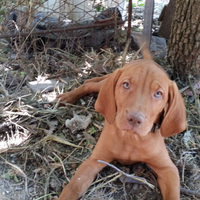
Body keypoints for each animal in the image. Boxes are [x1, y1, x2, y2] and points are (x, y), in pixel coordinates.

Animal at [57, 45, 187, 200]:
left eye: (158, 94)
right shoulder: (94, 160)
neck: (131, 137)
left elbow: (173, 194)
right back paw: (68, 96)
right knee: (91, 85)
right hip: (106, 84)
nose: (134, 119)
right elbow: (72, 188)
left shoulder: (168, 169)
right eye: (126, 85)